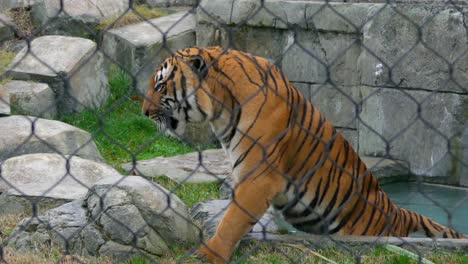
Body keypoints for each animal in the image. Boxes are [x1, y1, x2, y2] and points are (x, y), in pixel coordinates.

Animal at [141, 46, 466, 262]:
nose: (143, 112)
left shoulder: (259, 177)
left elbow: (232, 219)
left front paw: (209, 254)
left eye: (160, 84)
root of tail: (399, 212)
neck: (222, 107)